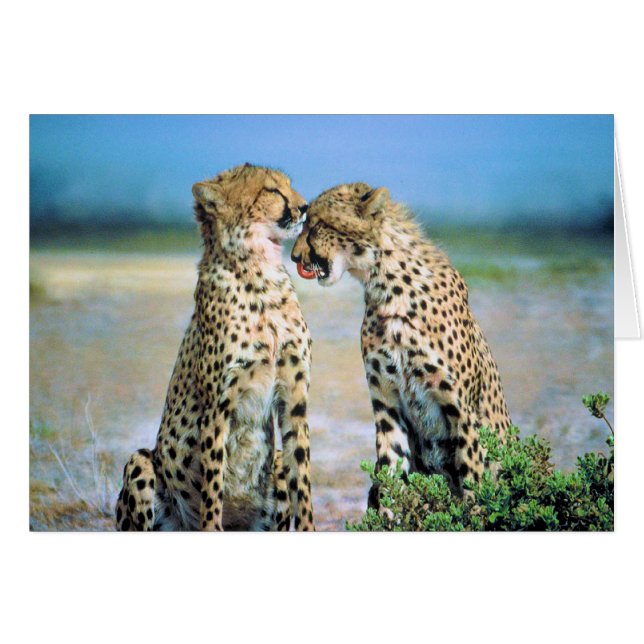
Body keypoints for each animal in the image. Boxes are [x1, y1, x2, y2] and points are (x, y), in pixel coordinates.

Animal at [116, 164, 315, 531]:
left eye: (288, 185)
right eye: (272, 190)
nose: (305, 207)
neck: (260, 273)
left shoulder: (294, 397)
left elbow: (303, 479)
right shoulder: (217, 406)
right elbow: (212, 488)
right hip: (142, 463)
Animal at [291, 182, 511, 505]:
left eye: (318, 224)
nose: (294, 257)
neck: (386, 285)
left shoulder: (463, 412)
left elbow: (472, 482)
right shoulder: (387, 404)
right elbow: (389, 472)